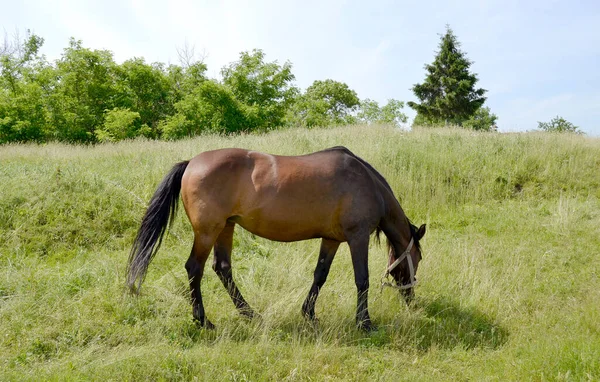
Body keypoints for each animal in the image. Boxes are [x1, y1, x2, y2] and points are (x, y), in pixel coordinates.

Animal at [126, 146, 426, 332]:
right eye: (418, 257)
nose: (411, 298)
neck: (368, 184)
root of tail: (191, 163)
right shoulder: (357, 237)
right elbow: (362, 279)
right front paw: (364, 323)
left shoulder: (331, 239)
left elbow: (320, 275)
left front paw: (309, 314)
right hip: (207, 232)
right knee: (194, 269)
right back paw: (203, 321)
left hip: (225, 228)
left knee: (222, 268)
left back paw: (250, 314)